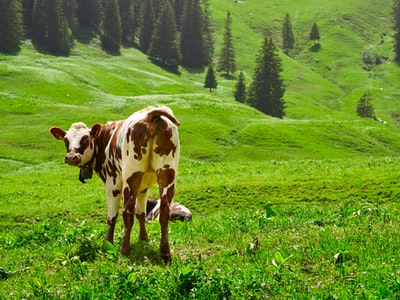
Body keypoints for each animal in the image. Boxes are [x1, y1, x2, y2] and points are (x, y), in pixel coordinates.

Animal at [50, 105, 180, 262]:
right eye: (66, 140)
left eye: (86, 139)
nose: (71, 157)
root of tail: (151, 114)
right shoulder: (143, 187)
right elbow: (141, 213)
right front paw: (143, 238)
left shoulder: (112, 182)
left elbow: (112, 217)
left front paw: (108, 243)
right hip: (167, 172)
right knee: (165, 211)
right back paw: (165, 253)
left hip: (131, 174)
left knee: (127, 211)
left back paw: (124, 250)